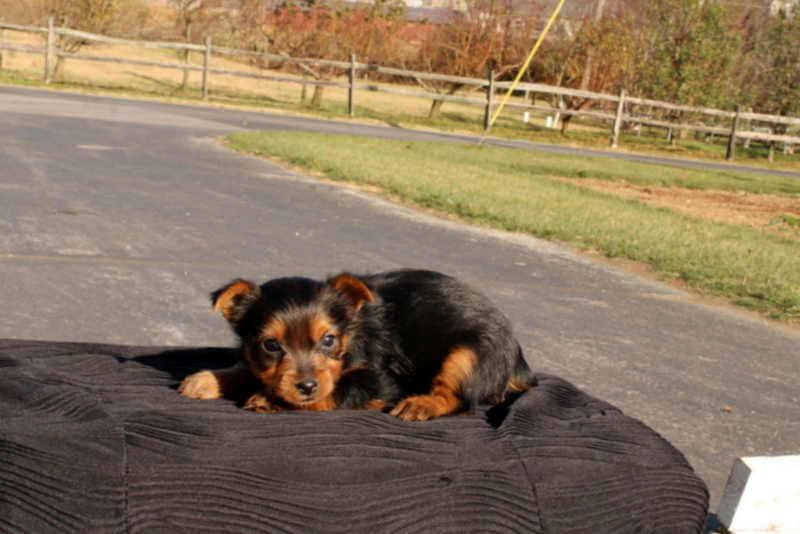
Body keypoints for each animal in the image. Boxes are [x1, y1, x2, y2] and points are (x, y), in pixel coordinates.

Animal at [178, 270, 536, 420]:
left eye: (328, 340)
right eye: (270, 345)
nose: (306, 386)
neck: (351, 336)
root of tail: (518, 358)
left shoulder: (380, 382)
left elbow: (336, 391)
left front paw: (273, 400)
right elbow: (248, 370)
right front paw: (207, 379)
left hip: (469, 355)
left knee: (459, 399)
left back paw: (422, 404)